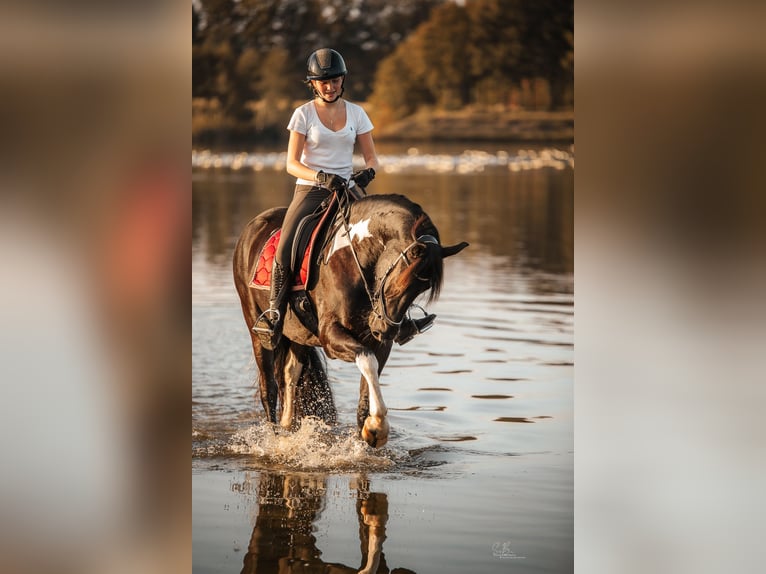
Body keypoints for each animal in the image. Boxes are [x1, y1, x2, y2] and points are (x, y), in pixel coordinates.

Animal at [234, 194, 468, 450]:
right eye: (403, 279)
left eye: (422, 289)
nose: (385, 328)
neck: (353, 257)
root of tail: (251, 227)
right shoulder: (331, 335)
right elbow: (366, 360)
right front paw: (377, 426)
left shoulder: (380, 344)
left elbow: (366, 389)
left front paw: (368, 436)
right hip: (257, 330)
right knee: (269, 387)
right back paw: (274, 439)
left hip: (299, 335)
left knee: (290, 375)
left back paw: (288, 432)